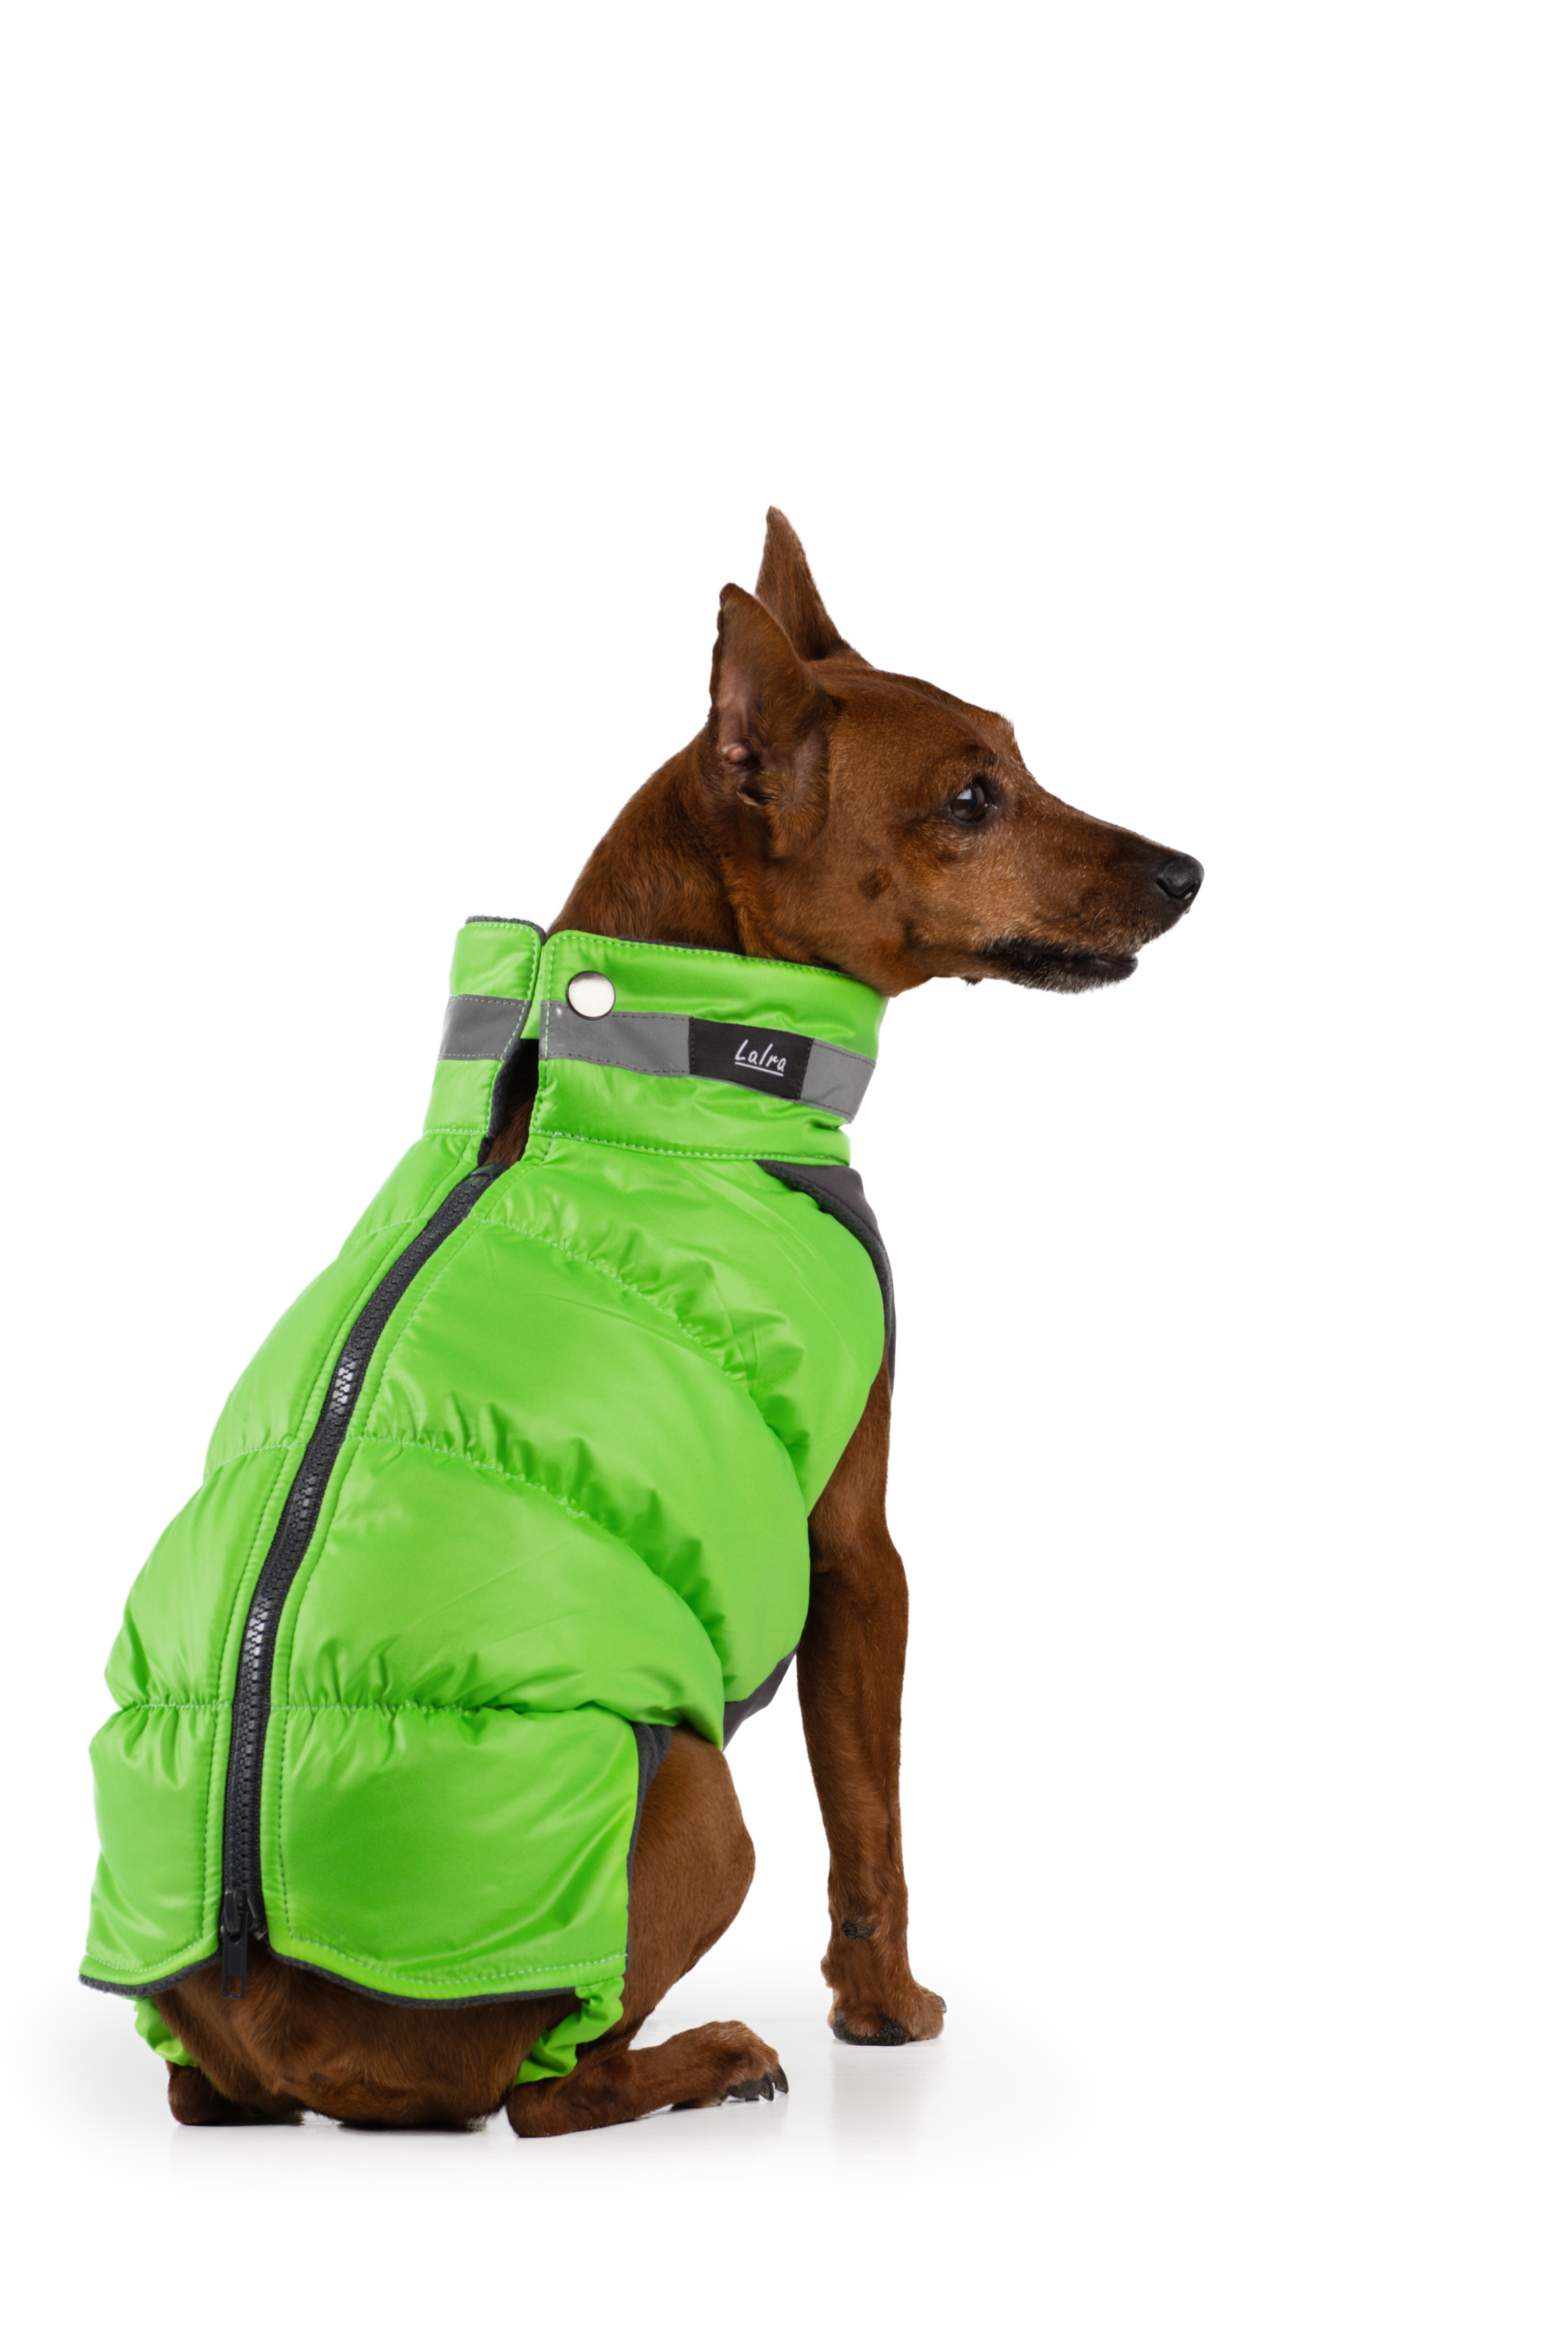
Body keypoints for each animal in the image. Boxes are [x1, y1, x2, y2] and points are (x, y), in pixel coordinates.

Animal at [82, 511, 1201, 2133]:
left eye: (1020, 760)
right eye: (970, 798)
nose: (1188, 870)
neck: (641, 1068)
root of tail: (278, 2006)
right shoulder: (856, 1547)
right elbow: (871, 1822)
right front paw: (886, 2013)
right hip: (701, 1795)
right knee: (546, 2092)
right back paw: (710, 2058)